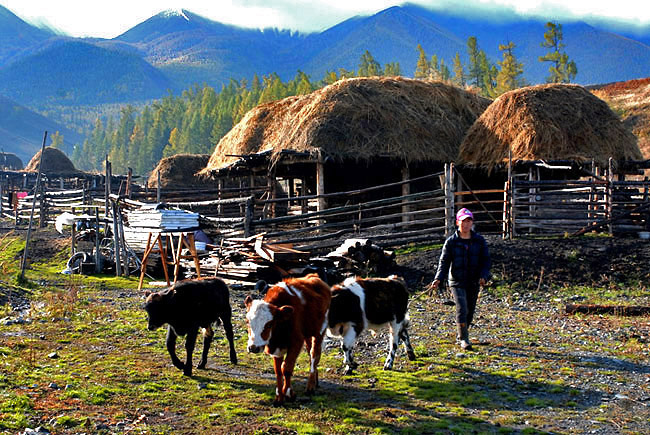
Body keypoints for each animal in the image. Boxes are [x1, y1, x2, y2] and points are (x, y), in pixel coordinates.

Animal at [246, 274, 332, 408]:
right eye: (247, 322)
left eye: (269, 324)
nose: (253, 347)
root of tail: (313, 276)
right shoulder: (277, 348)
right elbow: (278, 371)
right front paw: (279, 398)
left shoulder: (296, 342)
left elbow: (286, 368)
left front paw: (288, 394)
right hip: (307, 334)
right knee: (310, 353)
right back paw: (315, 380)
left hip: (319, 332)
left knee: (314, 355)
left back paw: (310, 386)